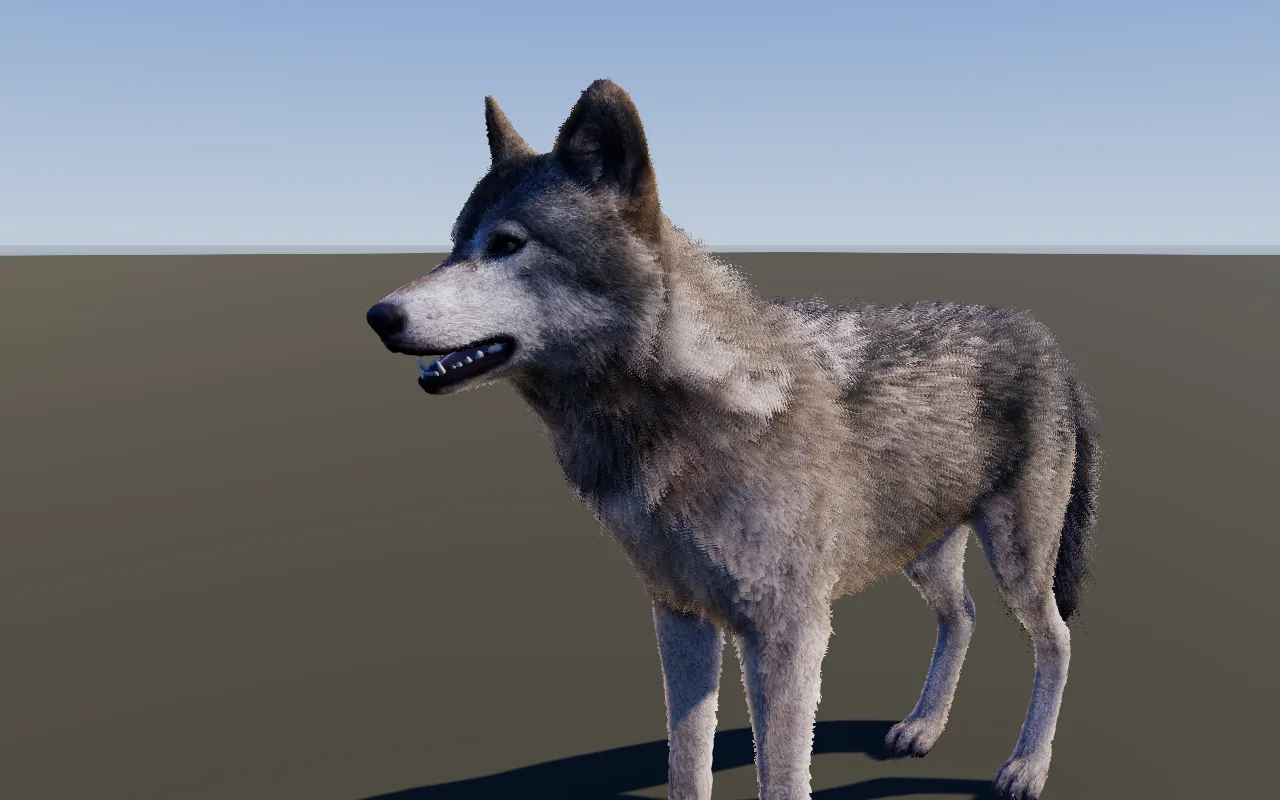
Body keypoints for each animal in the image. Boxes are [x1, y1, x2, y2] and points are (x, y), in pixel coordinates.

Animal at [365, 79, 1102, 800]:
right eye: (455, 244)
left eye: (506, 245)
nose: (378, 316)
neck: (687, 420)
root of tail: (1049, 342)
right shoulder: (681, 617)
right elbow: (686, 765)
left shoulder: (788, 634)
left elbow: (781, 775)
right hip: (922, 552)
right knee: (962, 617)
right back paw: (922, 727)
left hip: (1016, 561)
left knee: (1057, 641)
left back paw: (1027, 767)